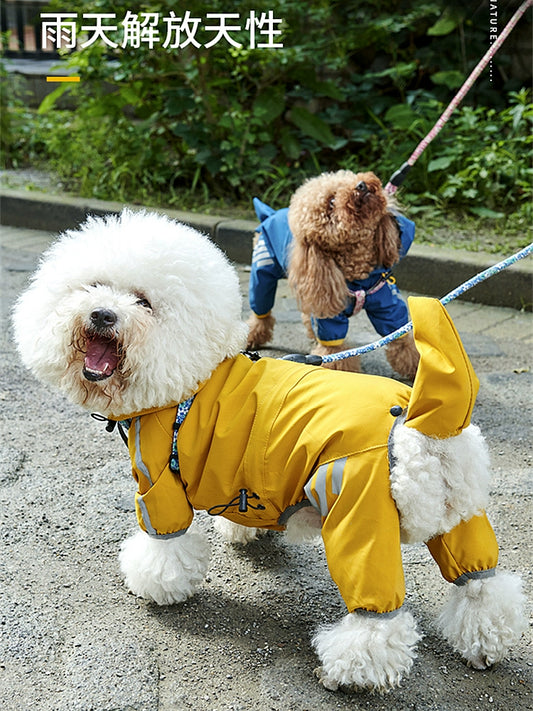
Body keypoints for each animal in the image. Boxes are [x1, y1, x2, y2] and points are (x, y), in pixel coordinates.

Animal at [12, 211, 524, 696]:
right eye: (93, 286)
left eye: (144, 302)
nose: (102, 314)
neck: (189, 380)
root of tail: (420, 418)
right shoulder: (238, 474)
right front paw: (246, 535)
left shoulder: (158, 483)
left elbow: (164, 545)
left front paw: (158, 587)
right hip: (461, 517)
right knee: (483, 584)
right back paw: (485, 644)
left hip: (359, 520)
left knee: (379, 621)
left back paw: (351, 674)